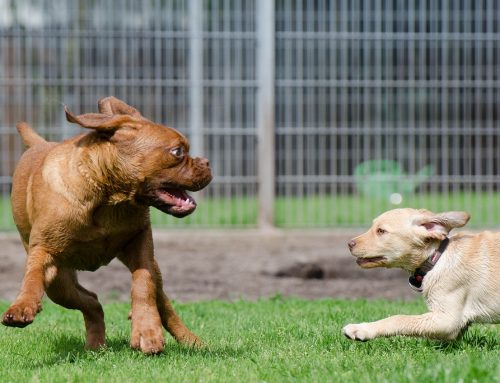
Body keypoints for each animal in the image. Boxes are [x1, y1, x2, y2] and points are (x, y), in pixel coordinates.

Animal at [0, 97, 211, 356]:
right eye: (178, 152)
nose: (207, 162)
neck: (107, 197)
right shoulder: (43, 252)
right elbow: (31, 279)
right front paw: (22, 306)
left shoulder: (141, 244)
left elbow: (143, 285)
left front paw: (146, 330)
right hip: (59, 284)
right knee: (91, 301)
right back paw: (95, 344)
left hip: (152, 269)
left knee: (161, 301)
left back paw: (190, 341)